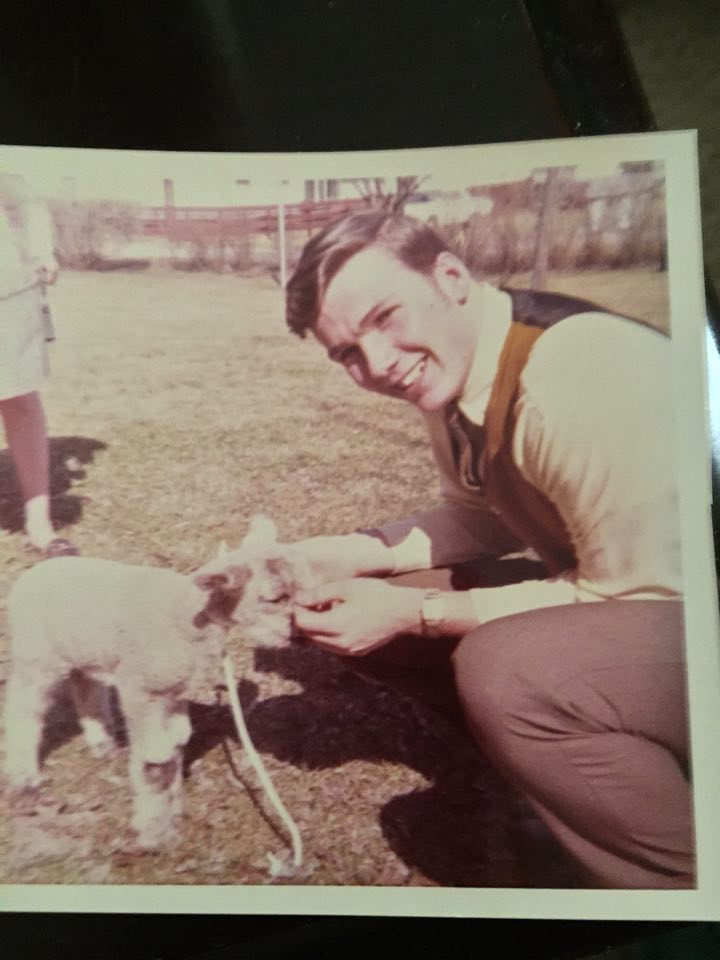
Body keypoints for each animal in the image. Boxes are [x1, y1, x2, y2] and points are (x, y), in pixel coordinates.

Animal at [0, 516, 304, 848]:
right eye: (273, 598)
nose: (295, 636)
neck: (187, 618)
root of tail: (43, 567)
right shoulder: (141, 689)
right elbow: (155, 760)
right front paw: (155, 833)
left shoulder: (173, 694)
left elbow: (176, 745)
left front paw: (173, 813)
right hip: (36, 654)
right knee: (23, 713)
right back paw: (24, 782)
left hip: (85, 650)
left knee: (86, 688)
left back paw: (103, 745)